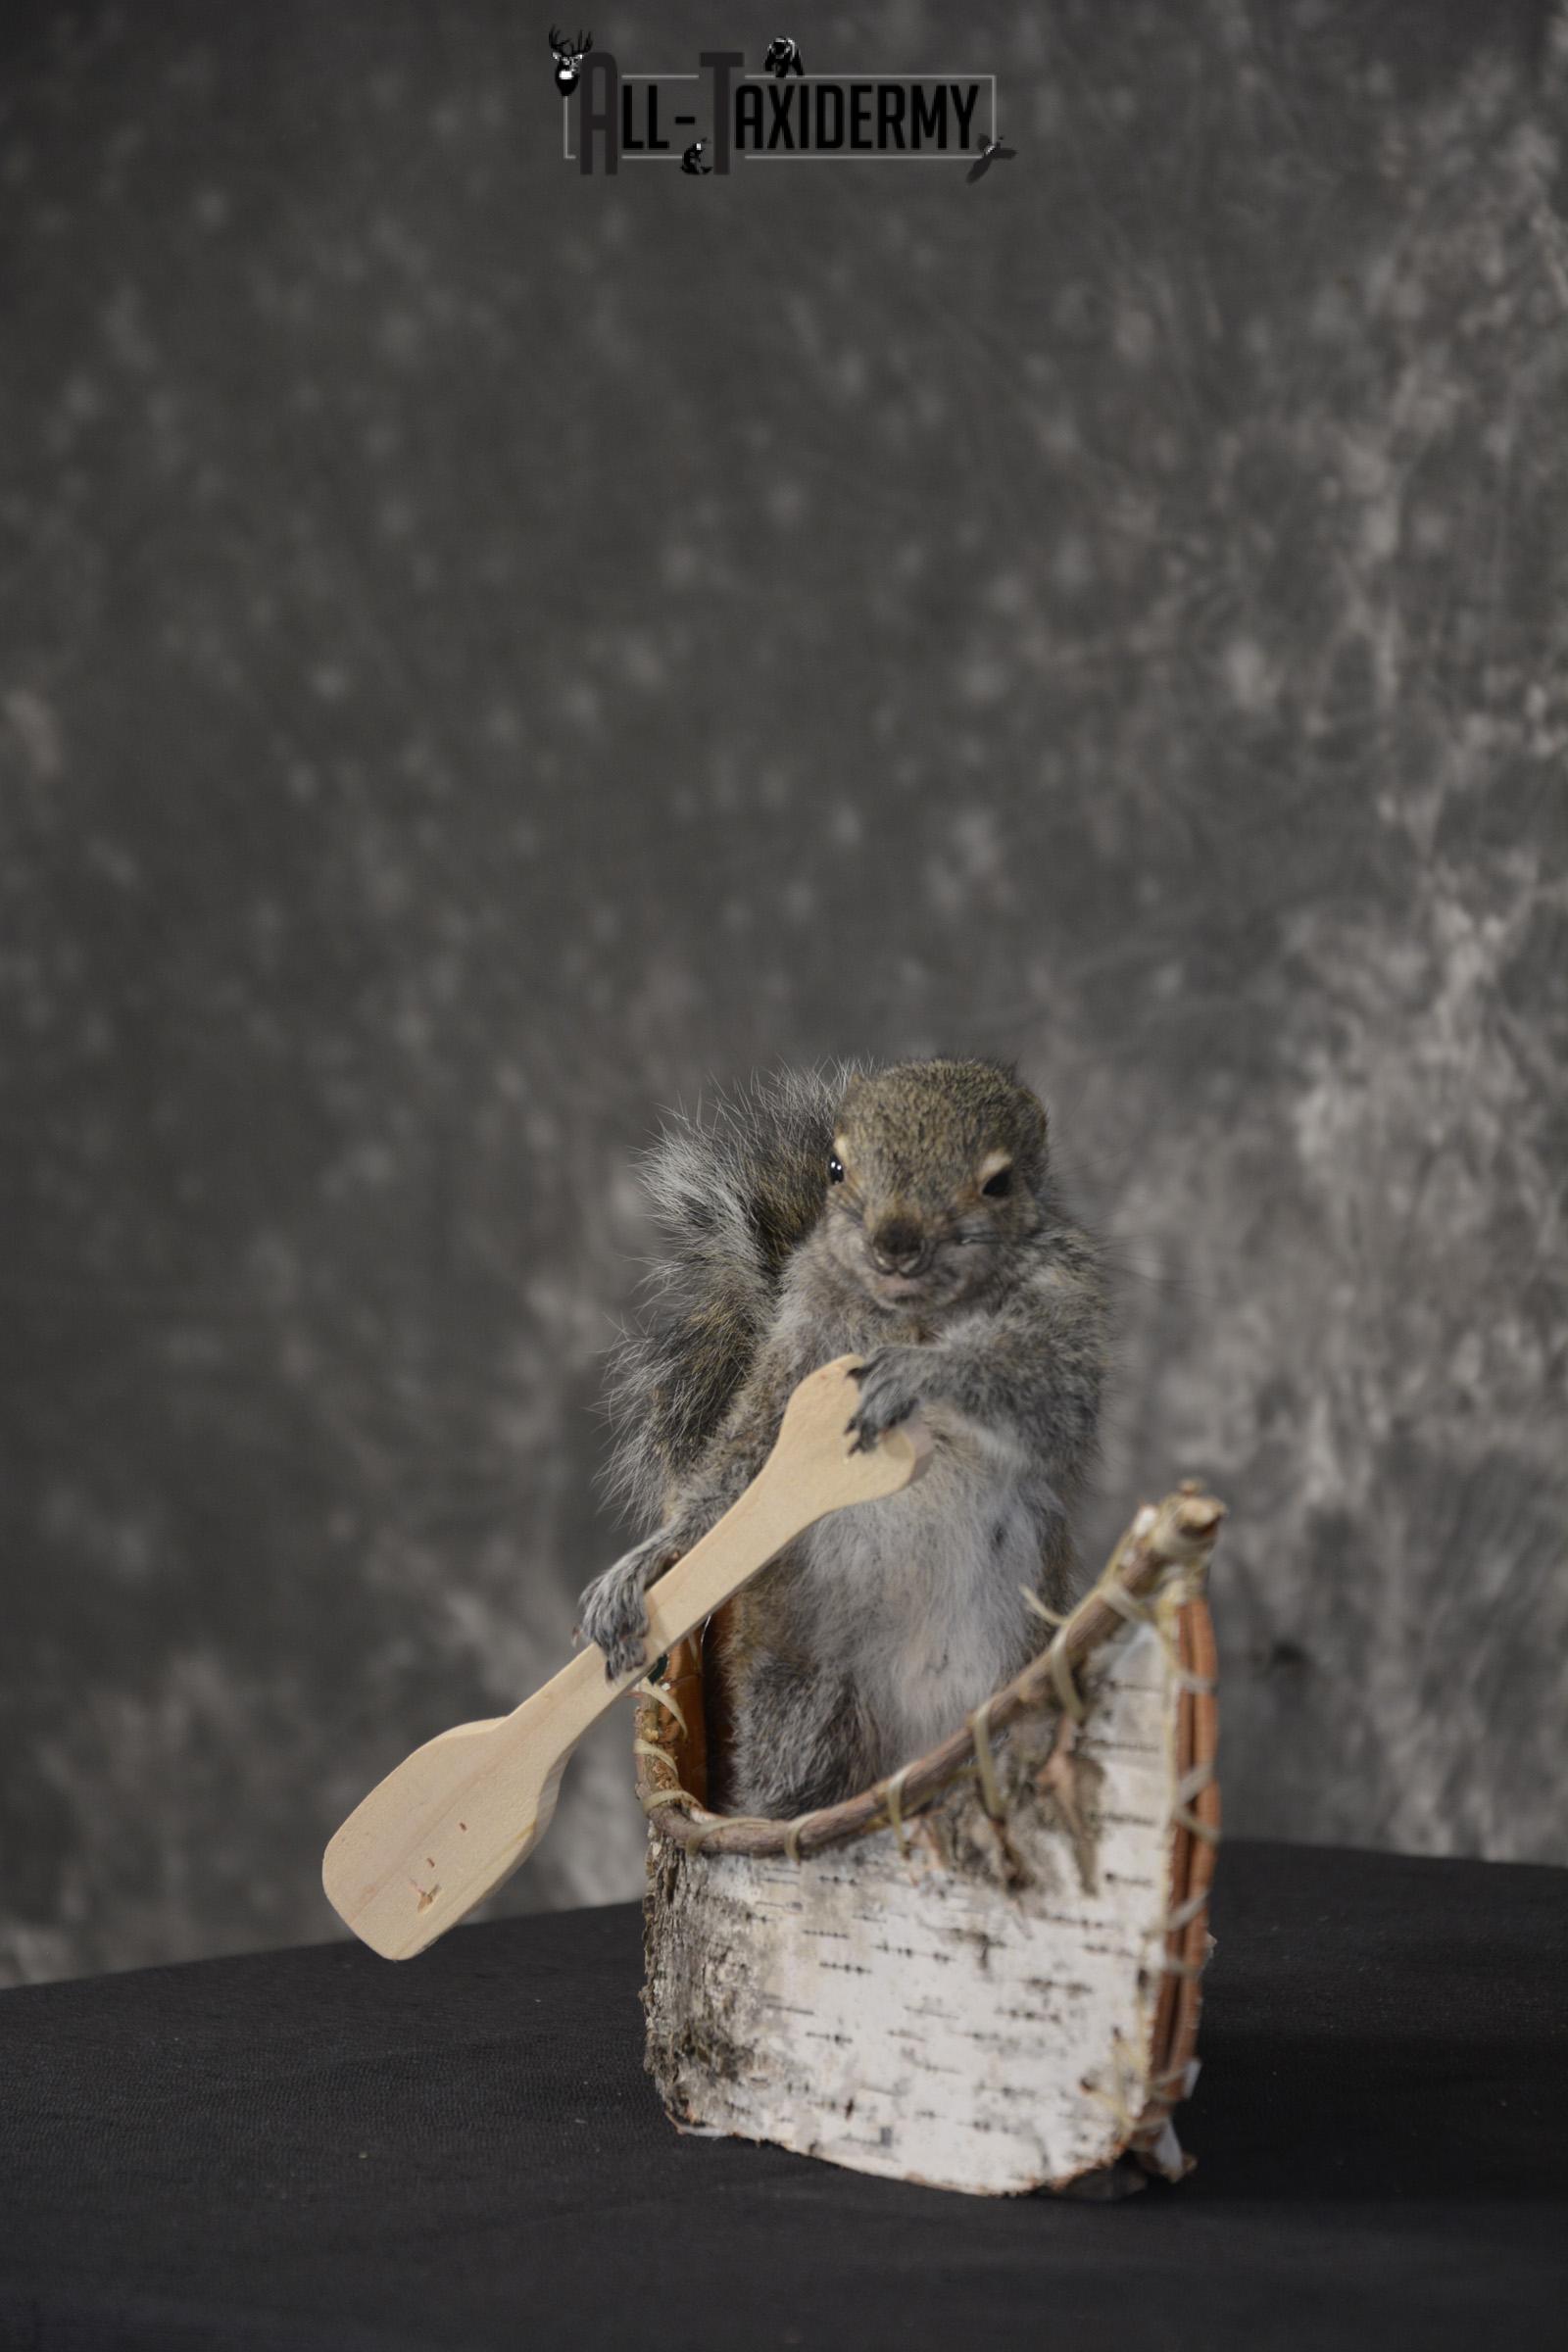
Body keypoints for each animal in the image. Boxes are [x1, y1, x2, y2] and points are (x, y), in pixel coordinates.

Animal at [579, 1057, 1109, 1820]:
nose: (896, 1245)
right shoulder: (794, 1357)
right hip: (801, 1701)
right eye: (836, 1167)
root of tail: (911, 1744)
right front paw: (651, 1559)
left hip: (1010, 1667)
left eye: (1000, 1183)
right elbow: (744, 1458)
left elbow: (1055, 1399)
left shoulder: (1068, 1306)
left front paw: (921, 1372)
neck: (910, 1315)